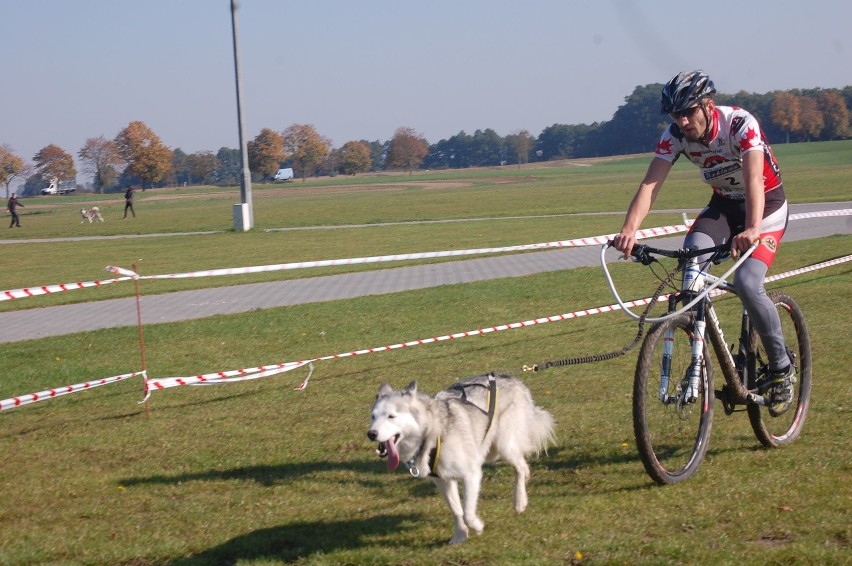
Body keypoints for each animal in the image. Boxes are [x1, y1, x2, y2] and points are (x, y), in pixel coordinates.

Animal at [364, 372, 552, 544]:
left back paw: (519, 501)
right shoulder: (443, 481)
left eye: (391, 416)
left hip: (503, 446)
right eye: (373, 417)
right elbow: (457, 510)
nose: (371, 434)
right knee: (523, 465)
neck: (432, 434)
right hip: (491, 450)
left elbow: (468, 513)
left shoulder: (471, 474)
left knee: (520, 467)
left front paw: (477, 527)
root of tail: (512, 378)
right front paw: (460, 535)